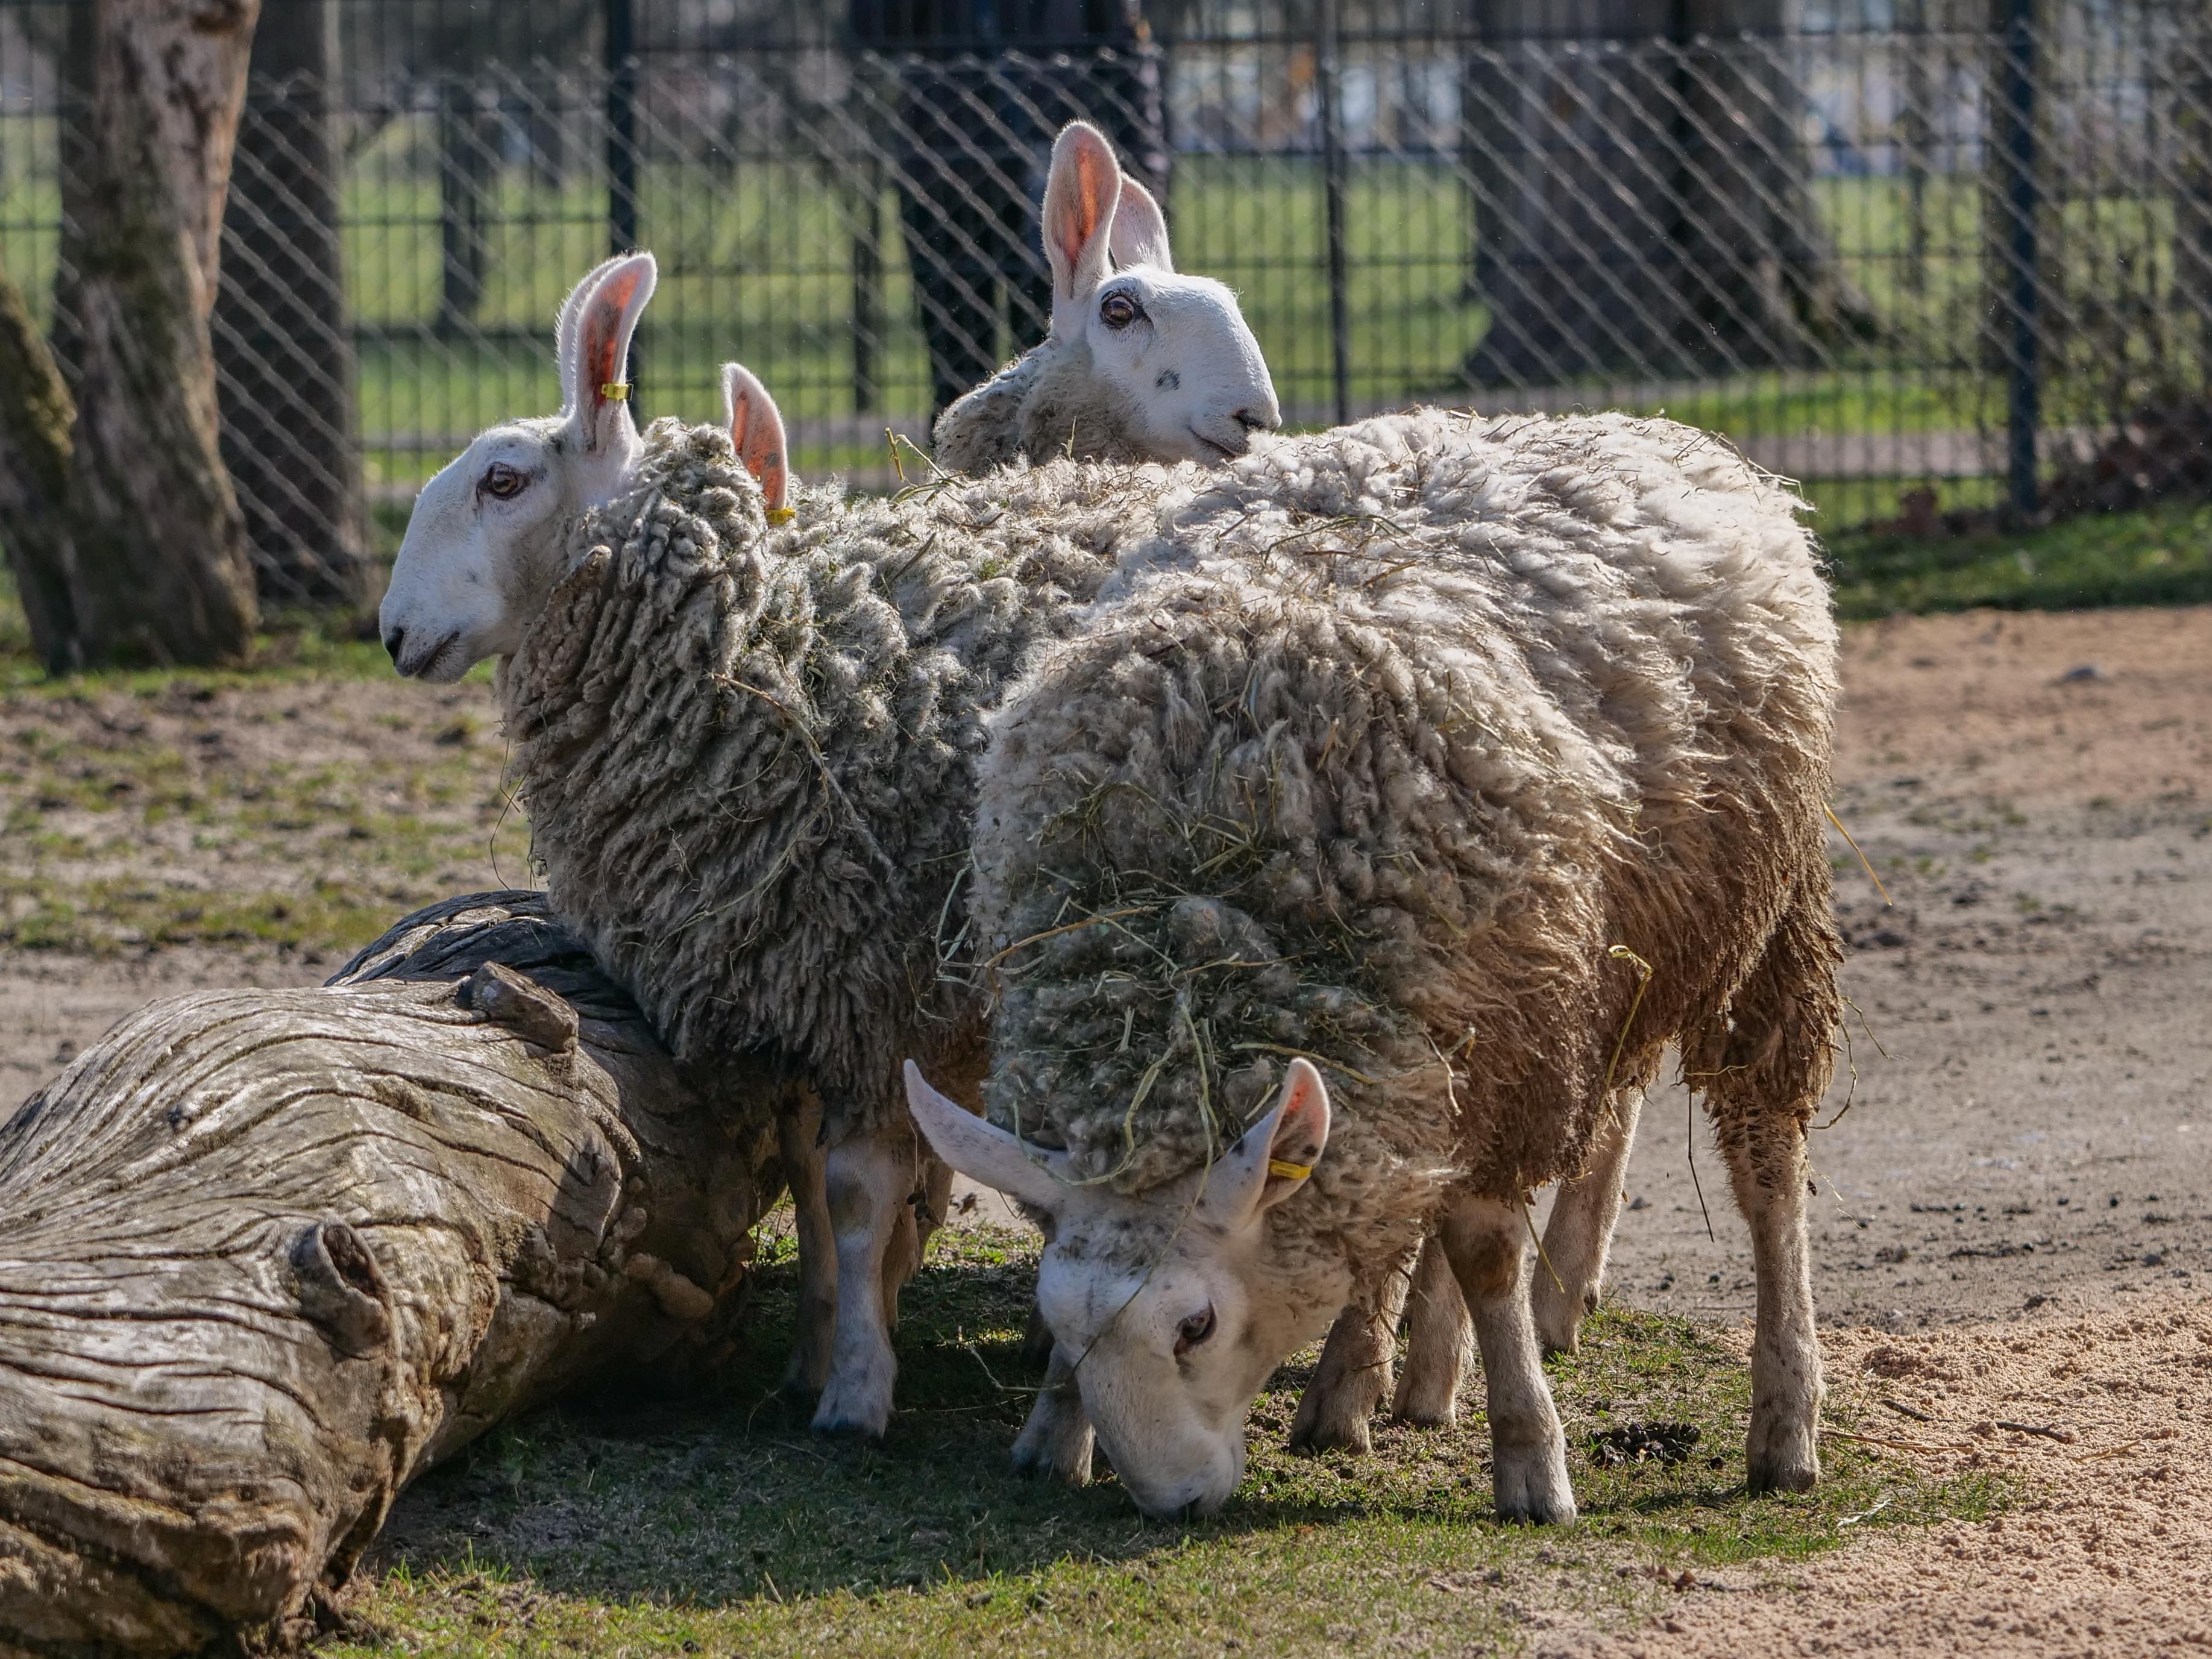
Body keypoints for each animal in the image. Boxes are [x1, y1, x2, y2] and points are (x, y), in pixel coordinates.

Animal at [902, 407, 1844, 1520]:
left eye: (1196, 1326)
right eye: (1060, 1323)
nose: (1175, 1503)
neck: (1199, 921)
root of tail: (1643, 428)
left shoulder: (1511, 1030)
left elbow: (1485, 1250)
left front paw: (1531, 1457)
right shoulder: (1419, 1022)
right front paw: (1056, 1428)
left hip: (1748, 922)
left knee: (1765, 1163)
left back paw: (1783, 1419)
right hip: (1488, 1015)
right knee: (1427, 1182)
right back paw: (1397, 1380)